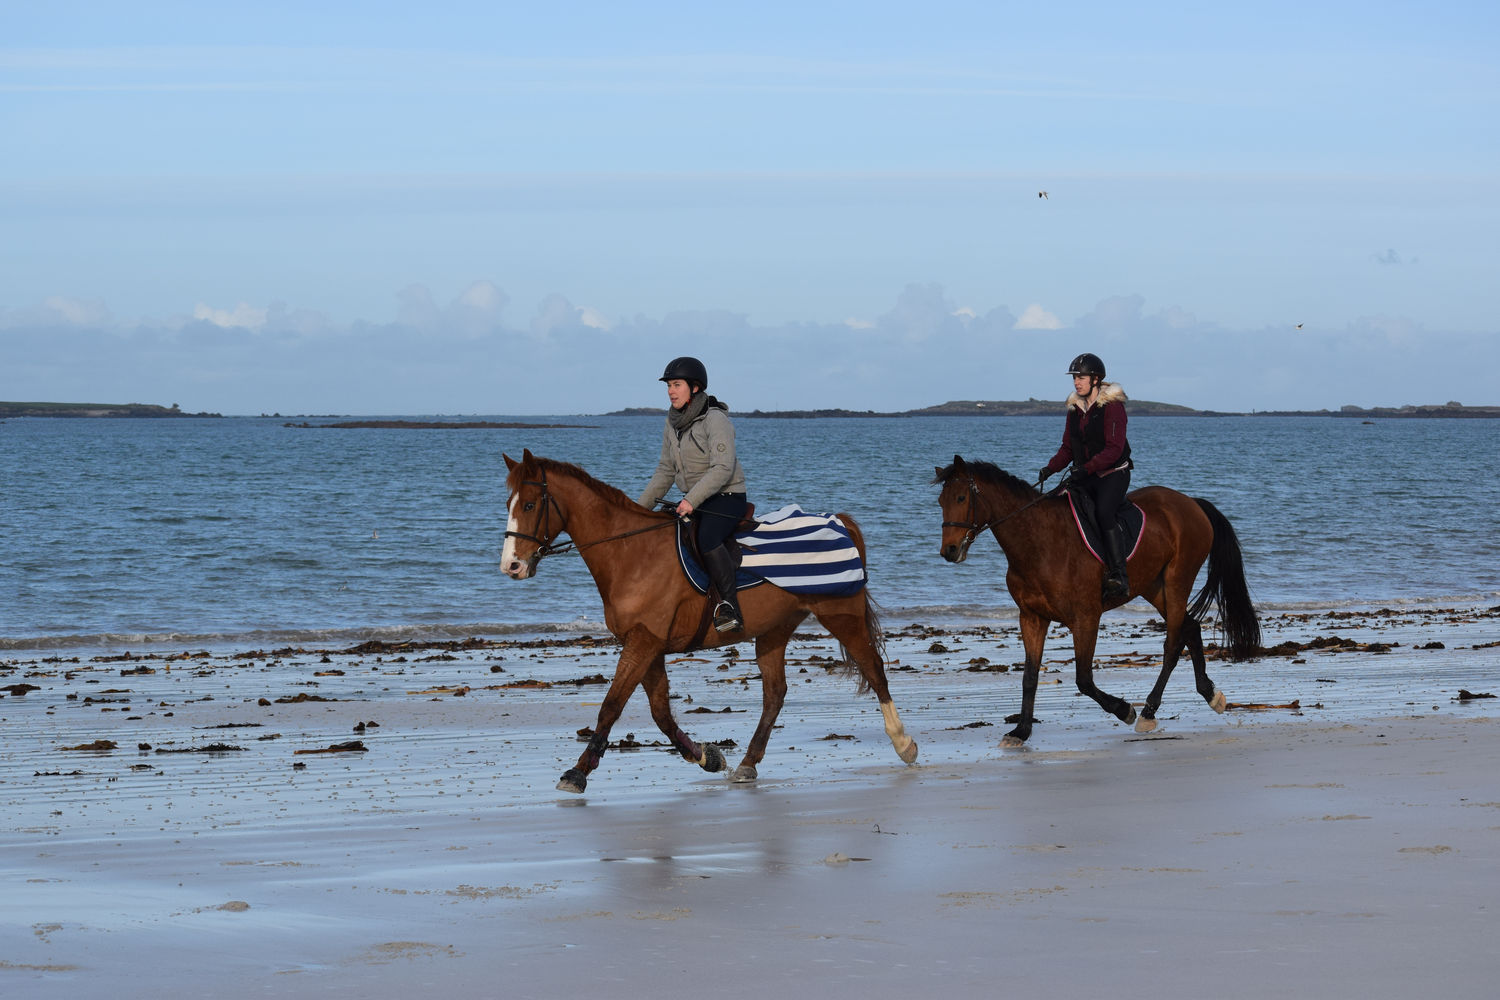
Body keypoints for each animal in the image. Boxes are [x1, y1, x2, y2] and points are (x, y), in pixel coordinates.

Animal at [501, 449, 912, 791]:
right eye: (509, 503)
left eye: (530, 503)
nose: (511, 566)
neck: (631, 552)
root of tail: (838, 521)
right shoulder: (647, 646)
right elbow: (661, 713)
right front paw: (707, 757)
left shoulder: (643, 642)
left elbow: (612, 705)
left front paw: (577, 773)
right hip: (773, 631)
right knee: (775, 694)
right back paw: (747, 763)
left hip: (841, 615)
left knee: (874, 668)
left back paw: (904, 742)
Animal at [930, 458, 1260, 746]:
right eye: (941, 502)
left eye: (961, 497)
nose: (949, 550)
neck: (1039, 544)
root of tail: (1191, 502)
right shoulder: (1032, 617)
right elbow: (1030, 677)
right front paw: (1021, 731)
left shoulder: (1085, 617)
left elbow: (1084, 679)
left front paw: (1125, 710)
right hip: (1153, 587)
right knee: (1190, 628)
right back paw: (1211, 695)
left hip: (1177, 581)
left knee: (1172, 644)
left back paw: (1148, 712)